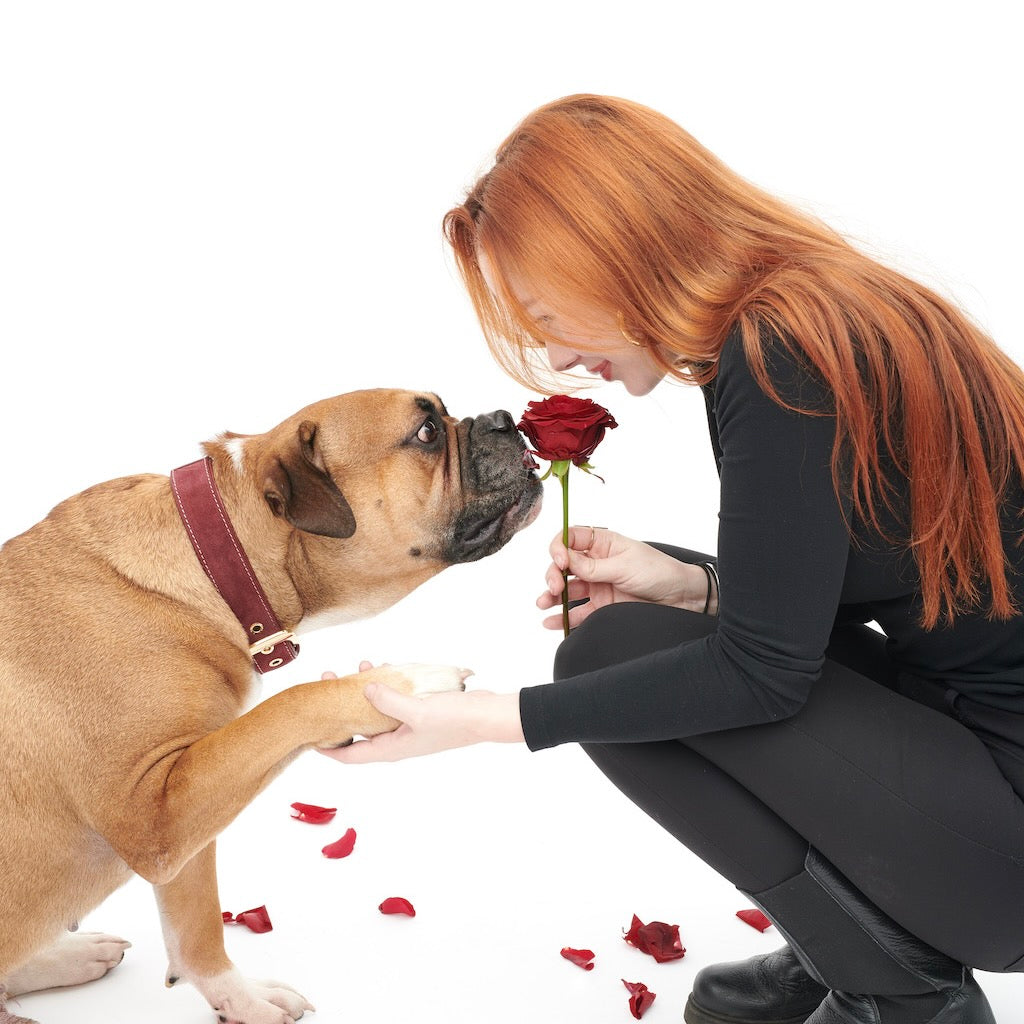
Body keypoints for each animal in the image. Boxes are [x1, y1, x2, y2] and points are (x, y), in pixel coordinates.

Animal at [0, 387, 544, 1019]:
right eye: (427, 432)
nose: (504, 421)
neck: (216, 561)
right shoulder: (158, 813)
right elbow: (285, 706)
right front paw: (408, 682)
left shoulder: (184, 823)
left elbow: (195, 930)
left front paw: (238, 1000)